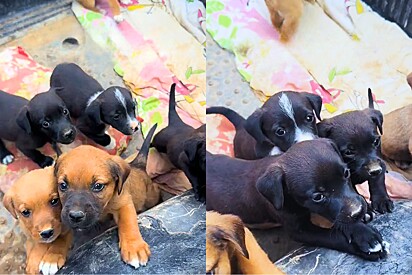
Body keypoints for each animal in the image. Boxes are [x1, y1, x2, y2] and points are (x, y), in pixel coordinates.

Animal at [55, 125, 162, 270]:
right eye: (63, 185)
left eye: (98, 186)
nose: (75, 216)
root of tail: (138, 165)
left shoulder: (123, 203)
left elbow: (128, 222)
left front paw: (134, 247)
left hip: (151, 195)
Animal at [208, 139, 388, 262]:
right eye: (318, 197)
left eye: (346, 174)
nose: (358, 211)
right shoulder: (300, 230)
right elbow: (333, 234)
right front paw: (364, 241)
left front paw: (362, 222)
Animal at [318, 89, 394, 217]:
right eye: (349, 152)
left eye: (376, 141)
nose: (375, 170)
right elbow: (353, 192)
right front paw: (365, 210)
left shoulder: (378, 162)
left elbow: (377, 181)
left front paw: (382, 200)